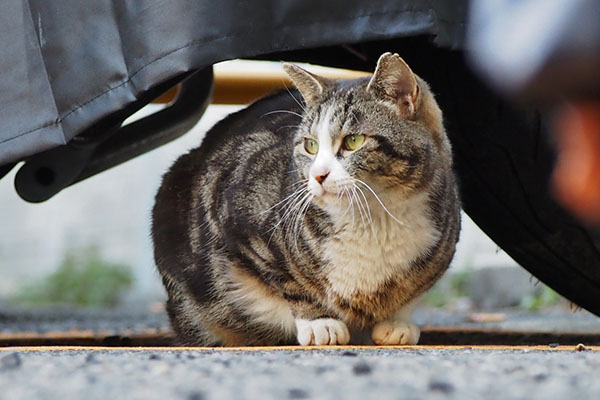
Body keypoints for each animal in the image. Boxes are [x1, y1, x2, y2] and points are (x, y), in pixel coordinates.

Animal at [152, 53, 462, 346]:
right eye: (310, 145)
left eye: (353, 141)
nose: (318, 175)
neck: (375, 216)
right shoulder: (240, 219)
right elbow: (288, 281)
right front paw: (319, 323)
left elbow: (414, 289)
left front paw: (398, 322)